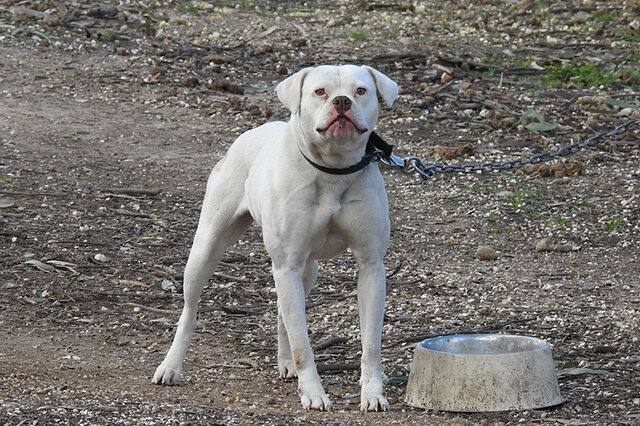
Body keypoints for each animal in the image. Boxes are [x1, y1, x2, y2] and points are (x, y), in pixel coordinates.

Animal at [152, 65, 398, 412]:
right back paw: (171, 366)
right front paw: (314, 393)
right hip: (207, 248)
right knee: (190, 310)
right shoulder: (286, 264)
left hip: (306, 269)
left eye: (361, 91)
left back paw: (286, 364)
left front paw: (373, 393)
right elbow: (302, 343)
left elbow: (371, 343)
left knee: (285, 309)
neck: (333, 170)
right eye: (320, 91)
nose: (341, 101)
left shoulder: (371, 265)